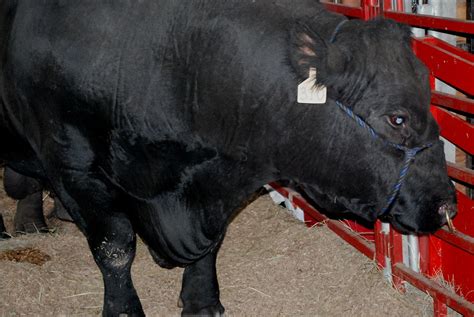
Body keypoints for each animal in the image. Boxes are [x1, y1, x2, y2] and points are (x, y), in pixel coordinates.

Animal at [0, 1, 458, 314]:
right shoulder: (73, 166)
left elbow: (212, 244)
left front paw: (202, 301)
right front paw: (125, 309)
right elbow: (114, 246)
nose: (448, 205)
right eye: (397, 118)